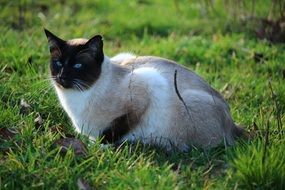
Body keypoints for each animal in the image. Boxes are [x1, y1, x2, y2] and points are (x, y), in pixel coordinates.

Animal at [44, 29, 244, 151]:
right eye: (58, 63)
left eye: (77, 66)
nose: (61, 77)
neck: (76, 98)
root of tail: (232, 125)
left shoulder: (147, 85)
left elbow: (113, 131)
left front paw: (100, 147)